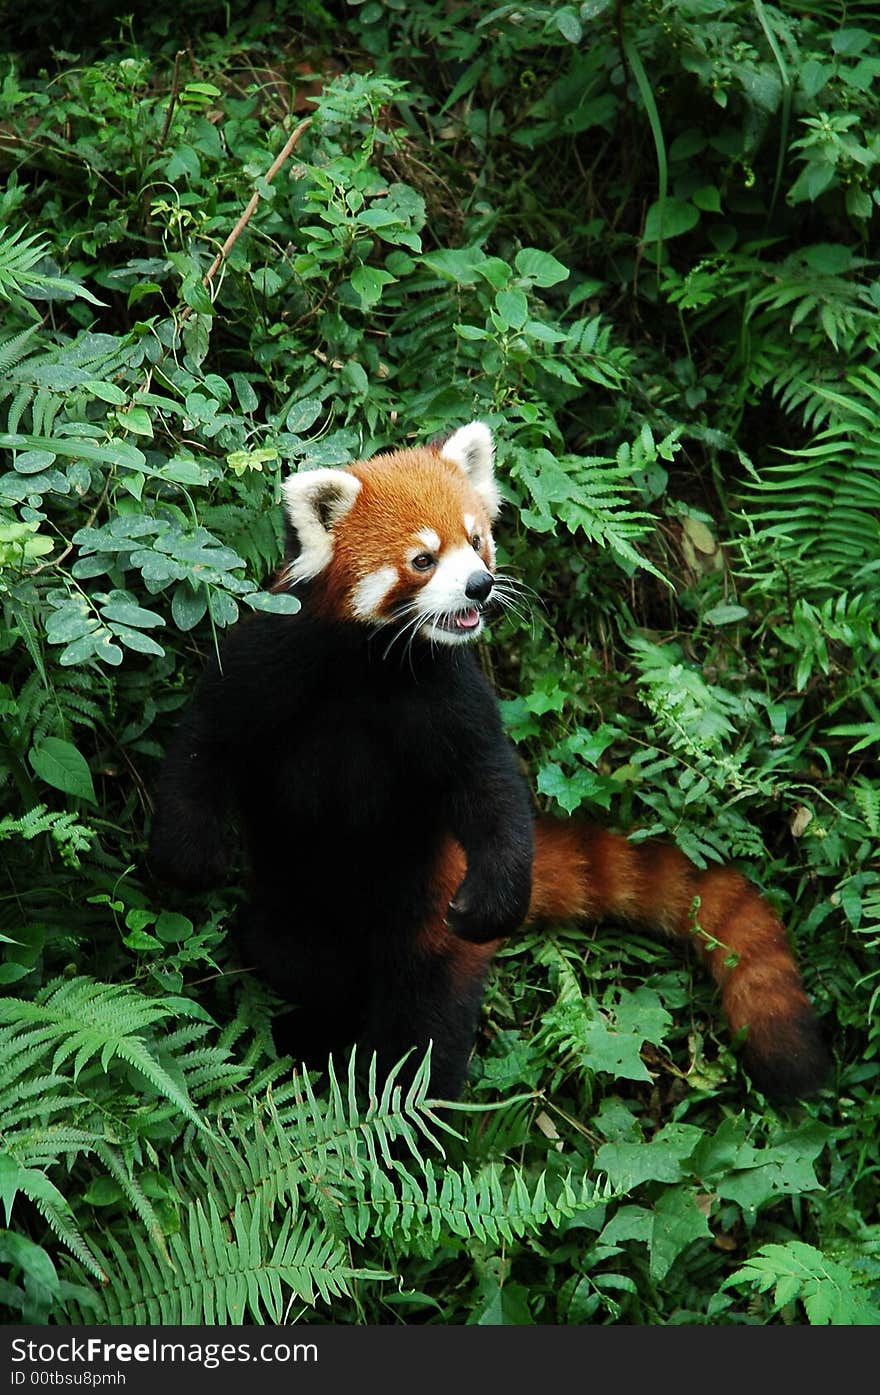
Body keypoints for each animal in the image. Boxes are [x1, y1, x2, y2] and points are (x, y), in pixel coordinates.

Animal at [151, 418, 831, 1104]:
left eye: (476, 541)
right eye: (423, 559)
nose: (479, 584)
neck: (371, 666)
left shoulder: (450, 694)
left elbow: (489, 788)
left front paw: (498, 894)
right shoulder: (272, 651)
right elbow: (207, 739)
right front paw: (193, 853)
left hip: (430, 918)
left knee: (423, 1022)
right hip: (298, 900)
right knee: (299, 964)